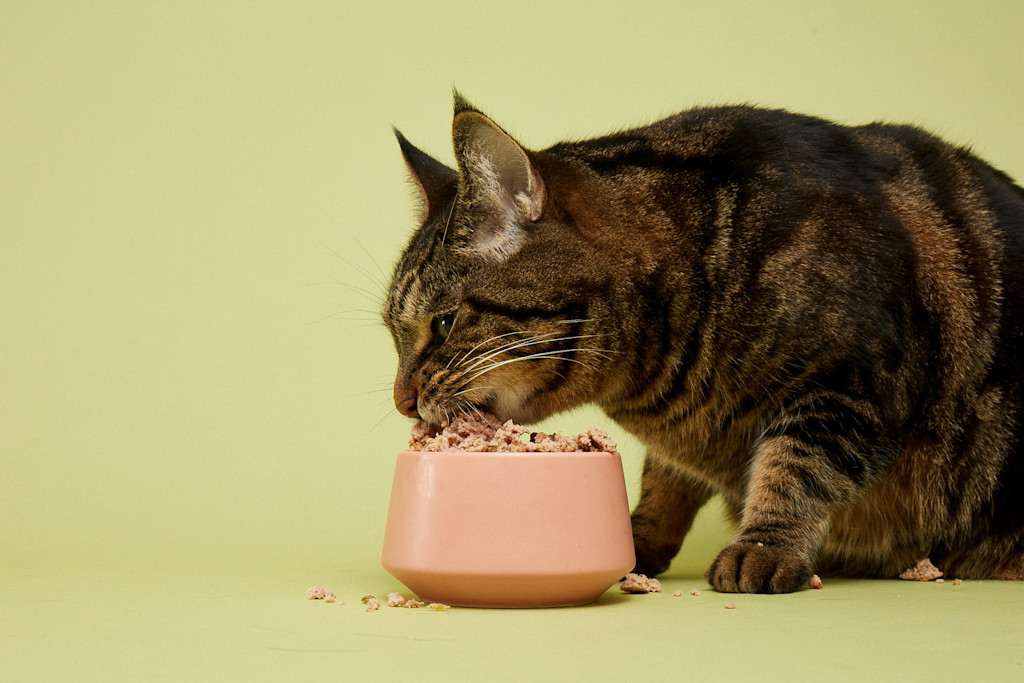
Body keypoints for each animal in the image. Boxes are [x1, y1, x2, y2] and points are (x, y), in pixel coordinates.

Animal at [382, 90, 1024, 593]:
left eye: (443, 324)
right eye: (393, 333)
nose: (401, 401)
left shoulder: (854, 384)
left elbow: (796, 466)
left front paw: (766, 546)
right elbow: (663, 483)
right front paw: (635, 540)